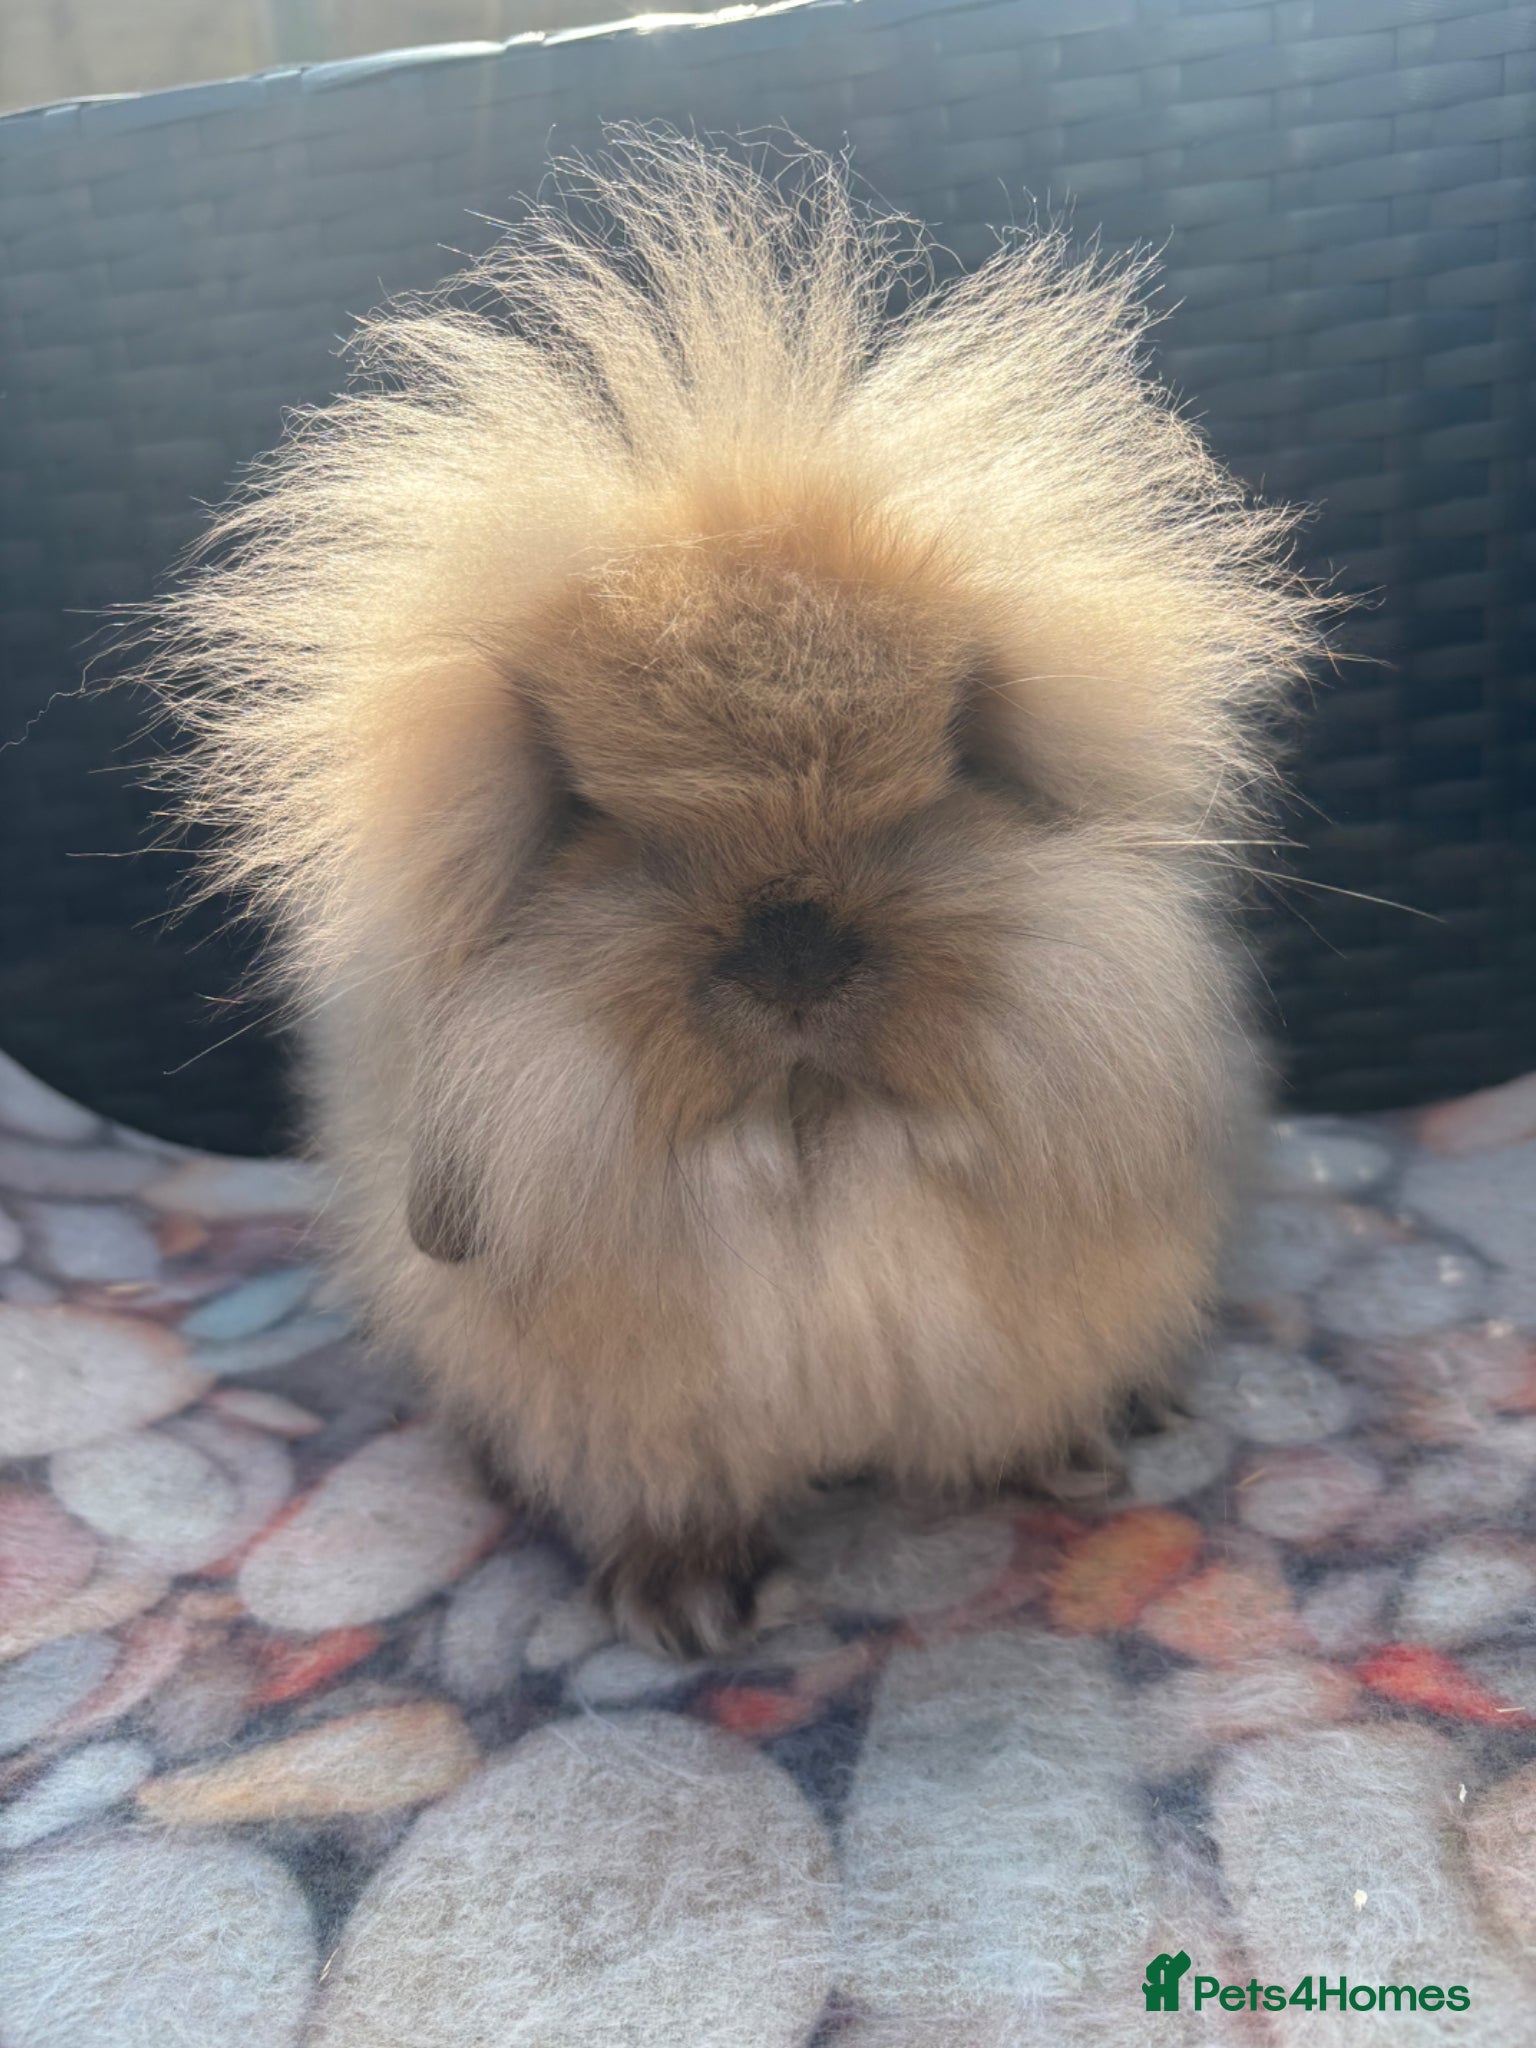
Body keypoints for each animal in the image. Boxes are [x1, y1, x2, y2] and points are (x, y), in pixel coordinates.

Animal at [137, 134, 1323, 1656]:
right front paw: (689, 1610)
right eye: (595, 817)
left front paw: (1070, 1459)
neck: (810, 1134)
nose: (797, 949)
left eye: (949, 767)